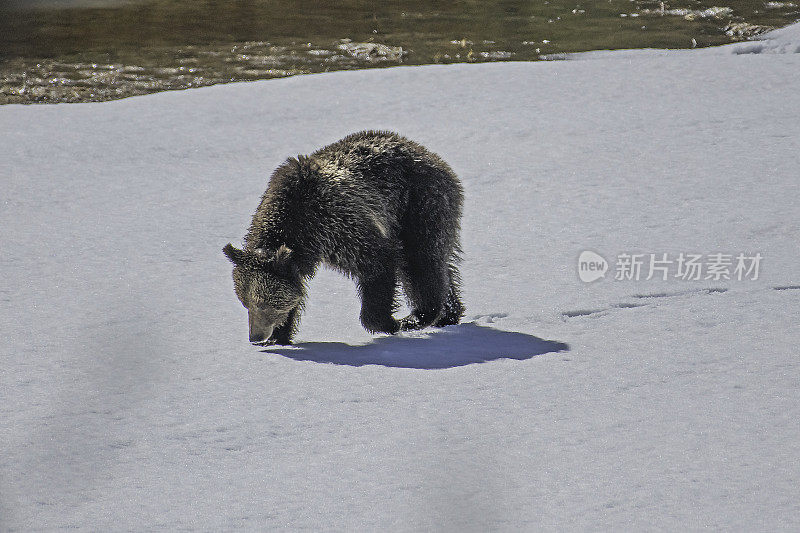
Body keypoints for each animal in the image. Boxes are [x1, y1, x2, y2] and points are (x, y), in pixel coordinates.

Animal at [222, 129, 466, 344]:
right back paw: (449, 313)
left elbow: (378, 261)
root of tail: (426, 153)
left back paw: (419, 316)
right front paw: (281, 336)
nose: (256, 337)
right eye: (245, 302)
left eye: (265, 304)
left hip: (418, 203)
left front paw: (389, 322)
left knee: (420, 261)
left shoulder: (337, 223)